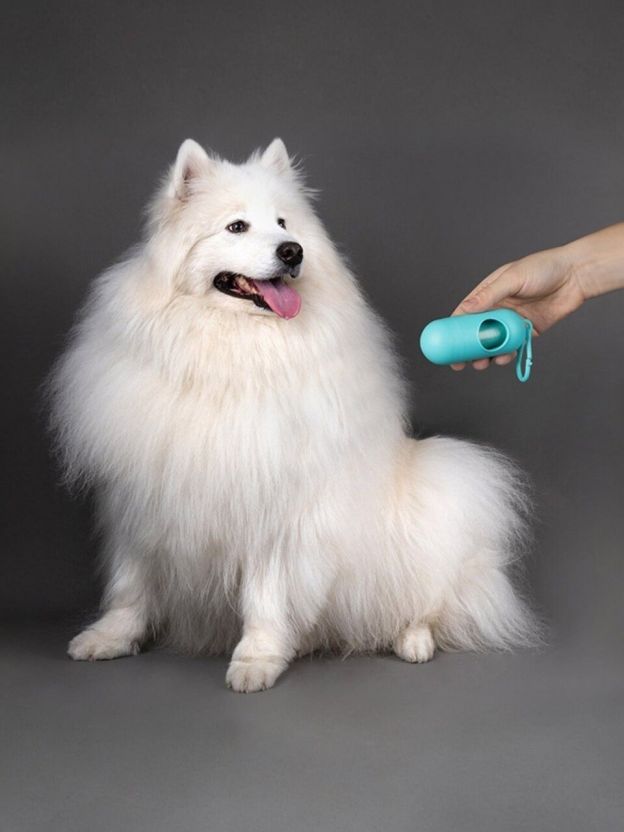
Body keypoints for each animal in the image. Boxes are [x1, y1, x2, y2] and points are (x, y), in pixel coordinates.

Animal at [48, 138, 539, 692]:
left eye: (284, 224)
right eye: (237, 226)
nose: (292, 251)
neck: (229, 354)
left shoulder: (275, 507)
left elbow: (265, 597)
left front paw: (256, 659)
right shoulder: (145, 494)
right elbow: (130, 584)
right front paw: (109, 637)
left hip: (426, 511)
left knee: (427, 601)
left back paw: (413, 641)